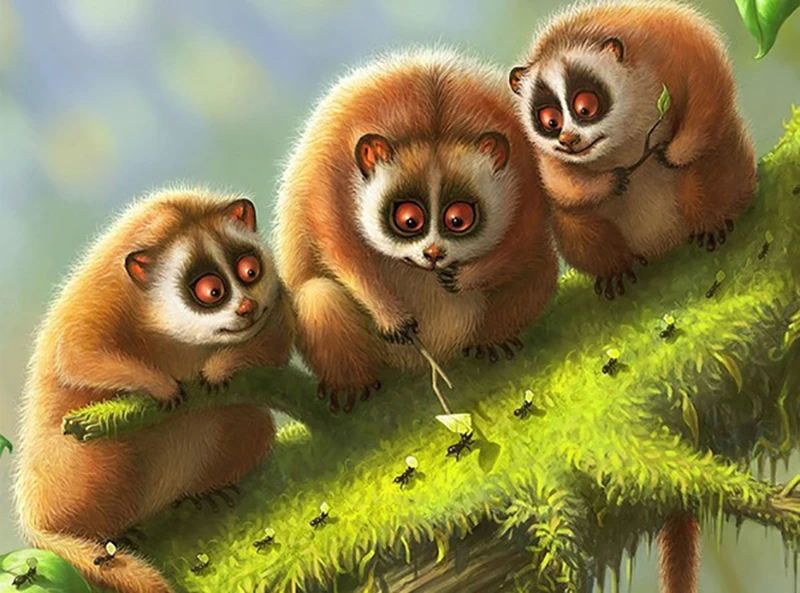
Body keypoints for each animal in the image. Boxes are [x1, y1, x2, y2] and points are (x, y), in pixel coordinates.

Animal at [13, 188, 295, 593]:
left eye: (250, 271)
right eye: (211, 291)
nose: (246, 306)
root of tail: (32, 517)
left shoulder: (275, 304)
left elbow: (277, 338)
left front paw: (220, 367)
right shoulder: (106, 292)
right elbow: (76, 350)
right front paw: (156, 384)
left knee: (247, 421)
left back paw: (206, 491)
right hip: (65, 470)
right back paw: (109, 532)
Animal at [274, 47, 558, 413]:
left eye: (458, 219)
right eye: (409, 220)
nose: (434, 253)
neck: (431, 120)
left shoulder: (525, 156)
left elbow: (528, 228)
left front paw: (464, 278)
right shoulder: (330, 161)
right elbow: (332, 231)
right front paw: (390, 315)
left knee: (539, 266)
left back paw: (492, 341)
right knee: (318, 296)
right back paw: (354, 384)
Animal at [508, 0, 757, 300]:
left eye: (586, 107)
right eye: (550, 121)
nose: (568, 139)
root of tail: (662, 243)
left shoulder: (669, 41)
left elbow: (706, 73)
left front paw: (676, 152)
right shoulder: (542, 152)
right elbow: (556, 180)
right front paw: (612, 181)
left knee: (709, 162)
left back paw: (712, 221)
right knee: (573, 218)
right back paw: (614, 268)